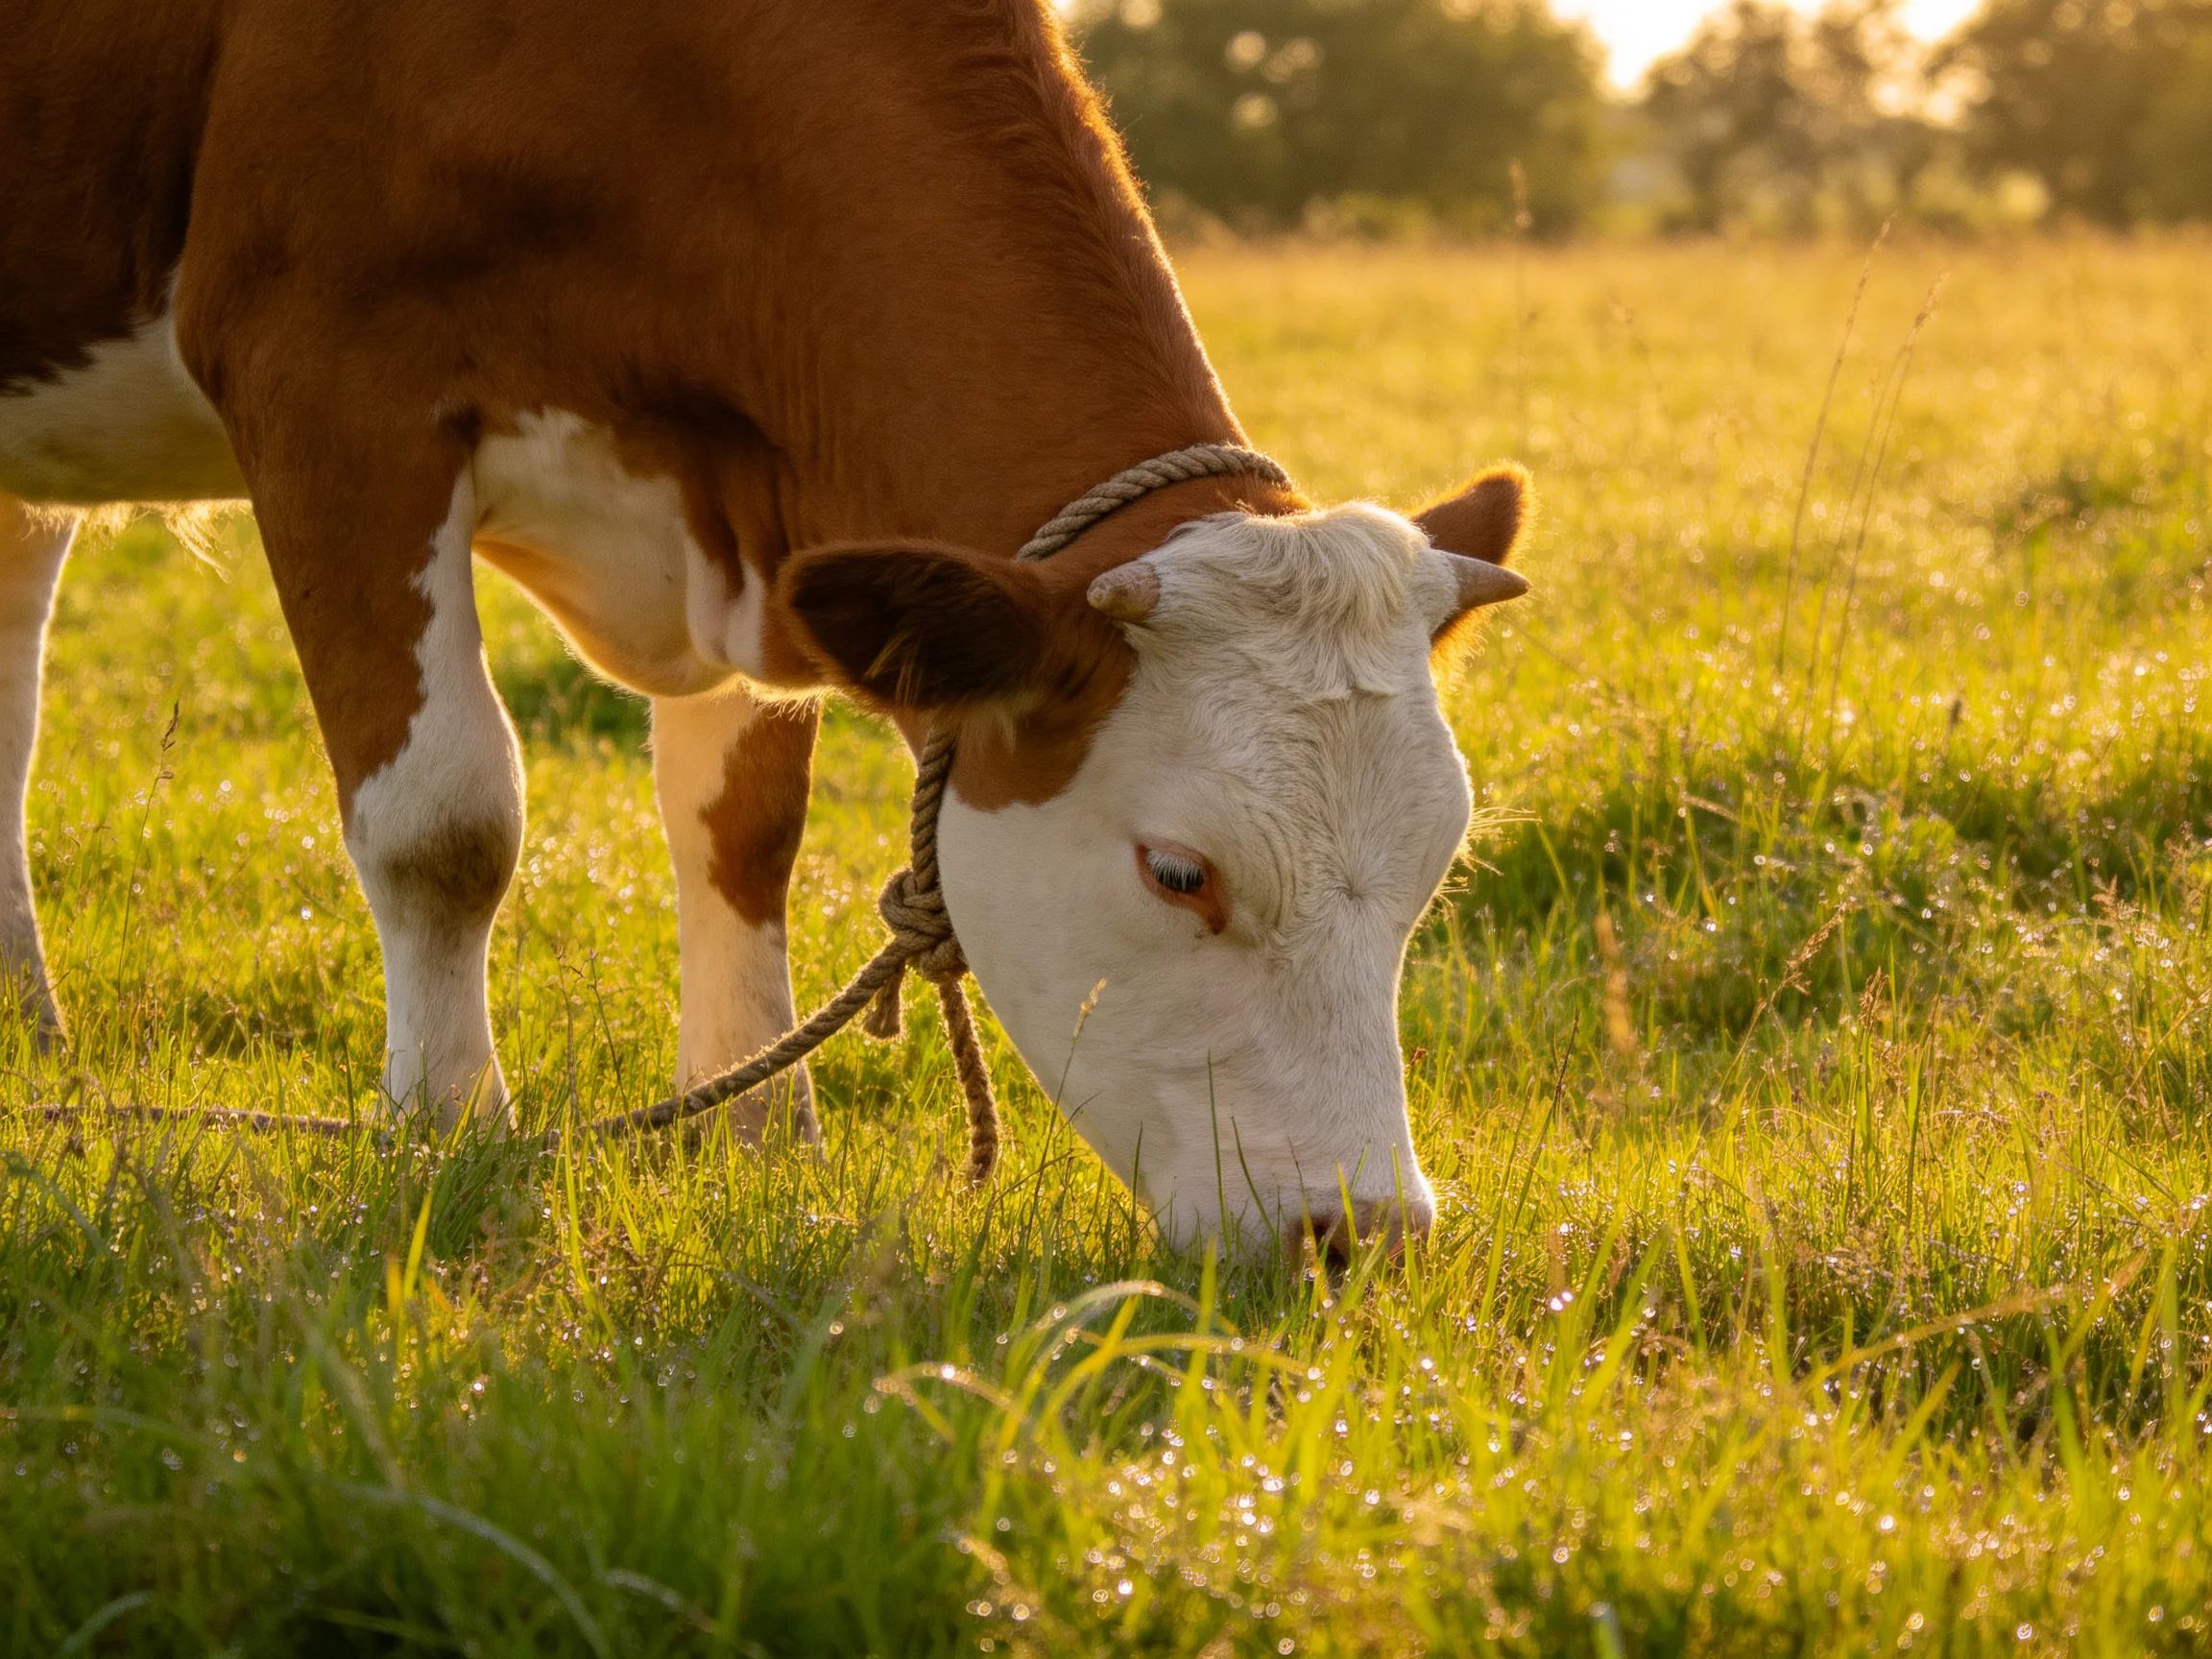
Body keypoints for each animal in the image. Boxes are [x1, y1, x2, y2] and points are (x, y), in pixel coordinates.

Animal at [0, 0, 1529, 1256]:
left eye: (1434, 870)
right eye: (1177, 872)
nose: (1365, 1232)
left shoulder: (749, 503)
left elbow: (745, 826)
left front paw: (756, 1136)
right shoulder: (328, 383)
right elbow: (445, 825)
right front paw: (449, 1133)